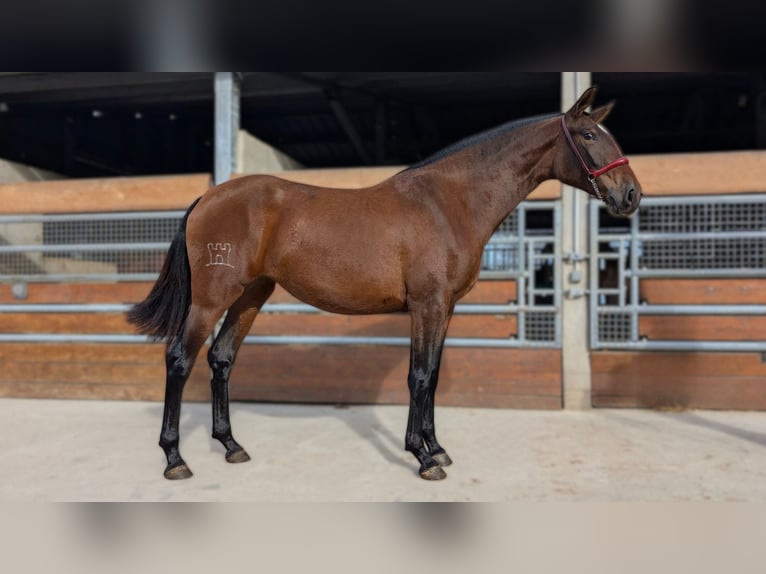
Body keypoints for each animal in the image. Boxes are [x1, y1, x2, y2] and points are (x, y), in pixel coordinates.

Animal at [127, 86, 642, 481]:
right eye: (589, 134)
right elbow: (419, 377)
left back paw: (231, 446)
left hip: (251, 296)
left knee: (221, 359)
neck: (449, 201)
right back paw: (175, 459)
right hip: (211, 299)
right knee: (179, 359)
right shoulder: (427, 305)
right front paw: (423, 458)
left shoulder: (444, 309)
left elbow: (433, 377)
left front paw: (437, 448)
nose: (631, 195)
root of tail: (207, 198)